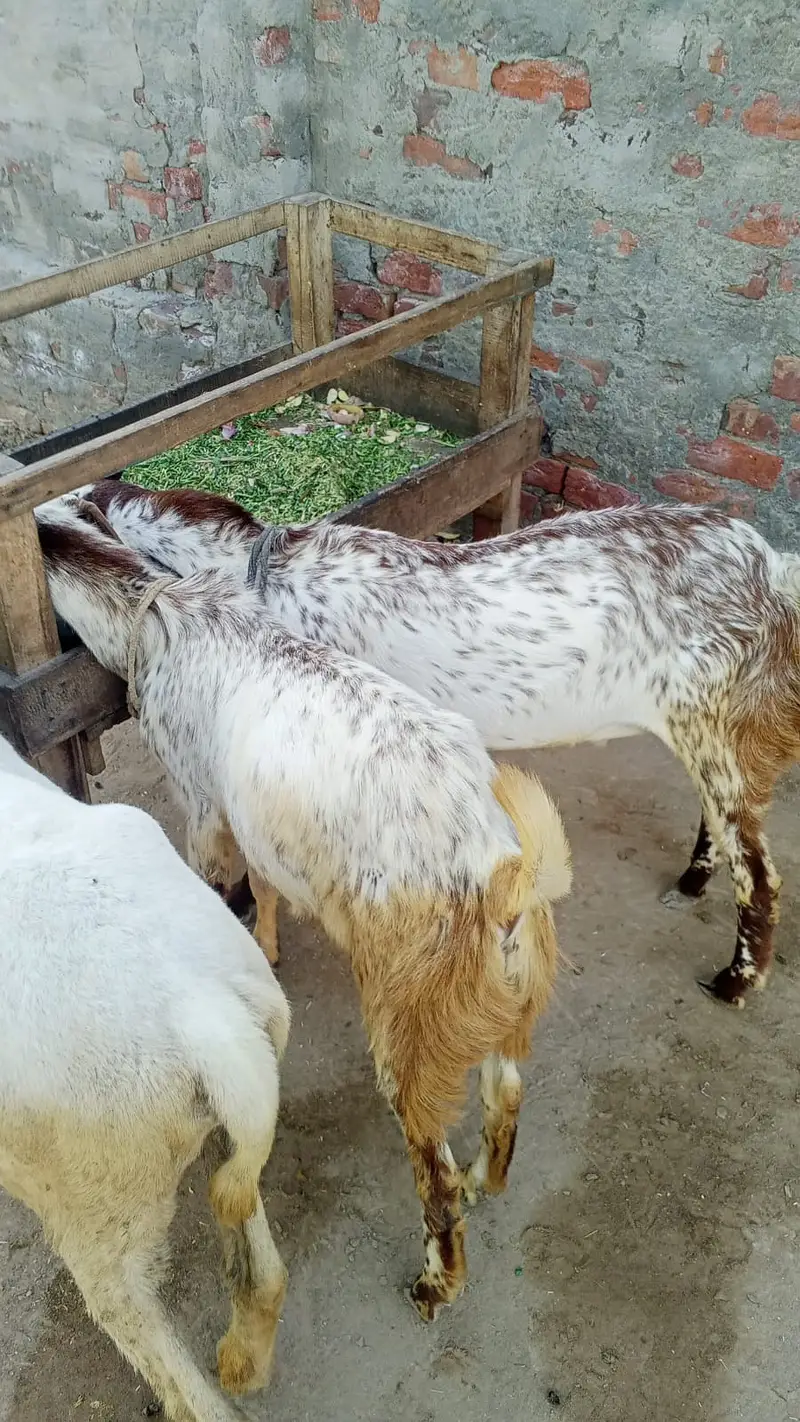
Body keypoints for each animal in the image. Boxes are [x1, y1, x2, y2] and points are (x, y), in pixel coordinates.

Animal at [0, 730, 290, 1422]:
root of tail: (203, 1015)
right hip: (231, 1101)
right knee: (256, 1252)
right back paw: (243, 1359)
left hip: (92, 1191)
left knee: (134, 1320)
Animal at [35, 503, 571, 1320]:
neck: (151, 607)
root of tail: (502, 874)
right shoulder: (250, 812)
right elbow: (263, 884)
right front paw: (267, 944)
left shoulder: (202, 804)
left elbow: (220, 878)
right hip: (497, 996)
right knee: (504, 1090)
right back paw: (491, 1177)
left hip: (408, 1016)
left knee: (435, 1171)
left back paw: (435, 1283)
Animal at [74, 480, 800, 1010]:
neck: (263, 577)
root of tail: (771, 567)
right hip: (712, 727)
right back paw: (692, 879)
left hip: (710, 717)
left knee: (758, 870)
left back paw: (734, 982)